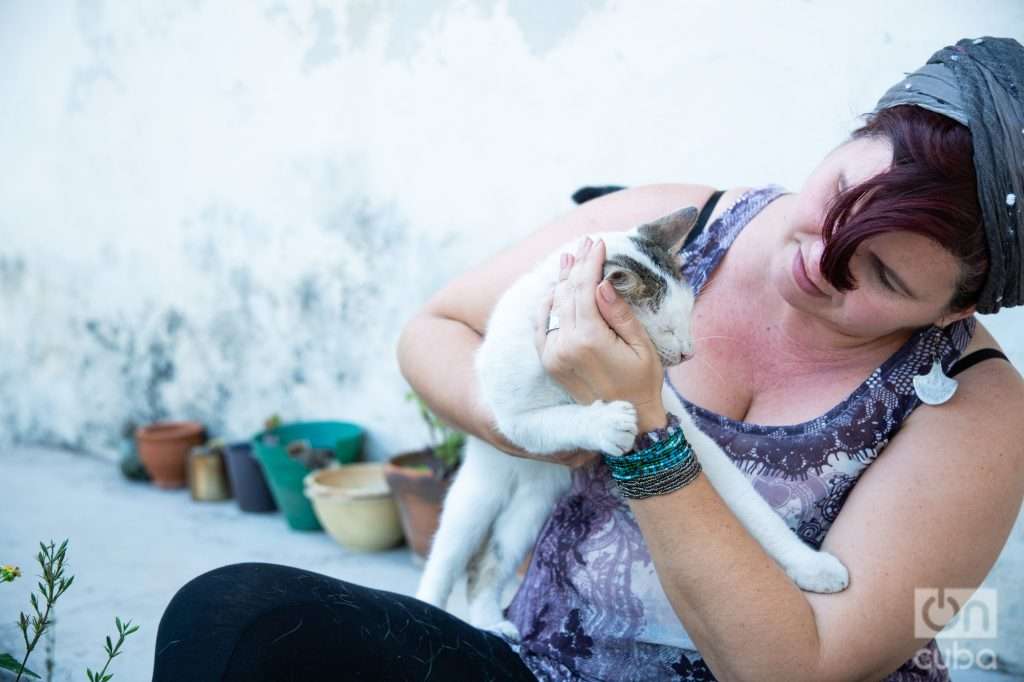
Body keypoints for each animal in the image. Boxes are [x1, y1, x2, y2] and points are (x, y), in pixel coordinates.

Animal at [413, 205, 847, 638]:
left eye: (689, 318)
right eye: (666, 328)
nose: (688, 352)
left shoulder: (679, 423)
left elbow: (746, 498)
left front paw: (810, 565)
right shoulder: (512, 421)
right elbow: (555, 418)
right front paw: (603, 422)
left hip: (530, 507)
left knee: (489, 562)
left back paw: (489, 620)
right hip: (478, 493)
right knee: (448, 557)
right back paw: (433, 605)